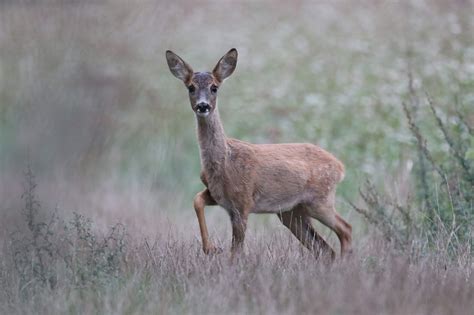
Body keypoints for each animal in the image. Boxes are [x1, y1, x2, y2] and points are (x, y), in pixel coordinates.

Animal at [167, 48, 352, 262]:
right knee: (325, 249)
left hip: (320, 200)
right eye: (190, 87)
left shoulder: (243, 201)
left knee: (345, 229)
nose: (203, 106)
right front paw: (210, 248)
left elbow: (236, 252)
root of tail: (340, 167)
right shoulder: (218, 195)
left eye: (214, 88)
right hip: (292, 212)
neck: (224, 162)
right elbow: (197, 200)